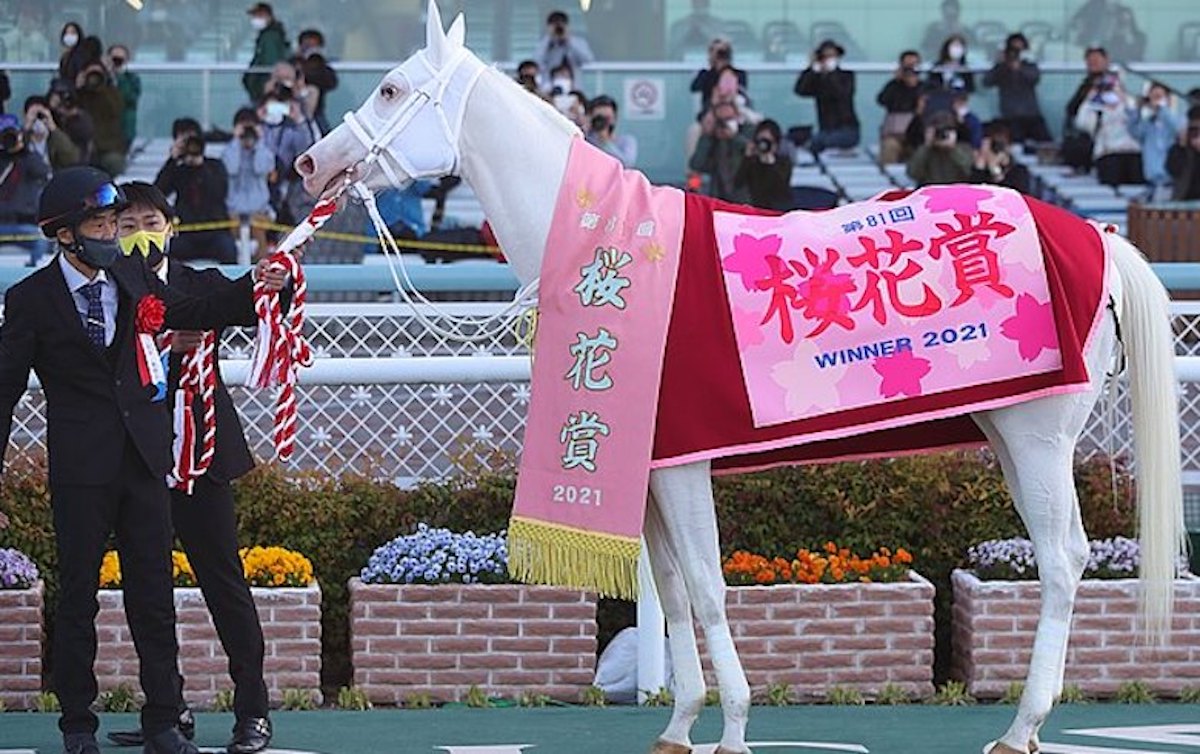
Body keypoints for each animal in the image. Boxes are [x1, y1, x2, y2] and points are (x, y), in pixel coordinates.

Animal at [295, 2, 1185, 749]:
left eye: (390, 87)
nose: (309, 162)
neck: (611, 251)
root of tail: (1101, 238)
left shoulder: (686, 464)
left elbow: (710, 588)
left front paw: (731, 728)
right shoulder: (651, 469)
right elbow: (673, 589)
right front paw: (679, 724)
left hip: (1038, 440)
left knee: (1061, 561)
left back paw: (1022, 726)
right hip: (1007, 433)